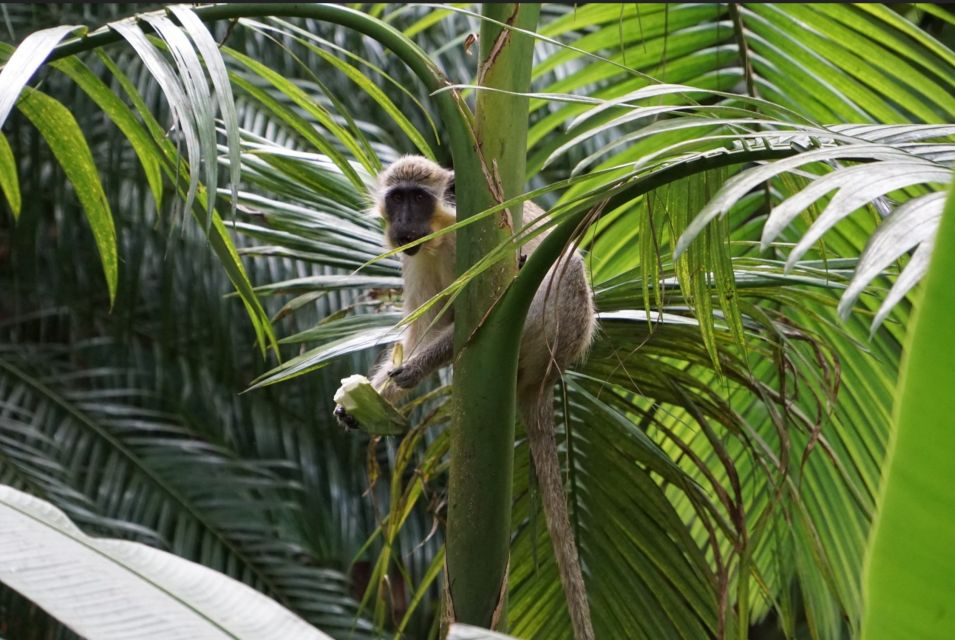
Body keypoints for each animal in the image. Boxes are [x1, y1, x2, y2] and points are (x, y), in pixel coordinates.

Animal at [332, 156, 592, 640]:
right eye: (397, 198)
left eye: (418, 198)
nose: (404, 222)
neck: (439, 236)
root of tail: (545, 378)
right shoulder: (416, 260)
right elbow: (426, 324)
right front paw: (366, 399)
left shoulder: (467, 246)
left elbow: (464, 323)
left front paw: (410, 371)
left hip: (557, 321)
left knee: (549, 273)